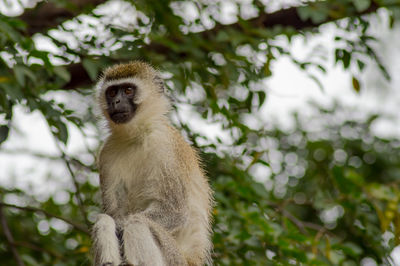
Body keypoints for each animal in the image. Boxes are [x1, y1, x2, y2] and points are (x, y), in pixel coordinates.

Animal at [92, 60, 214, 266]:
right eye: (112, 92)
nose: (116, 102)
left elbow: (174, 211)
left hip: (175, 259)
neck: (137, 136)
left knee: (138, 223)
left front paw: (121, 225)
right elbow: (113, 213)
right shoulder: (106, 153)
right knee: (104, 220)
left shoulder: (165, 145)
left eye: (128, 90)